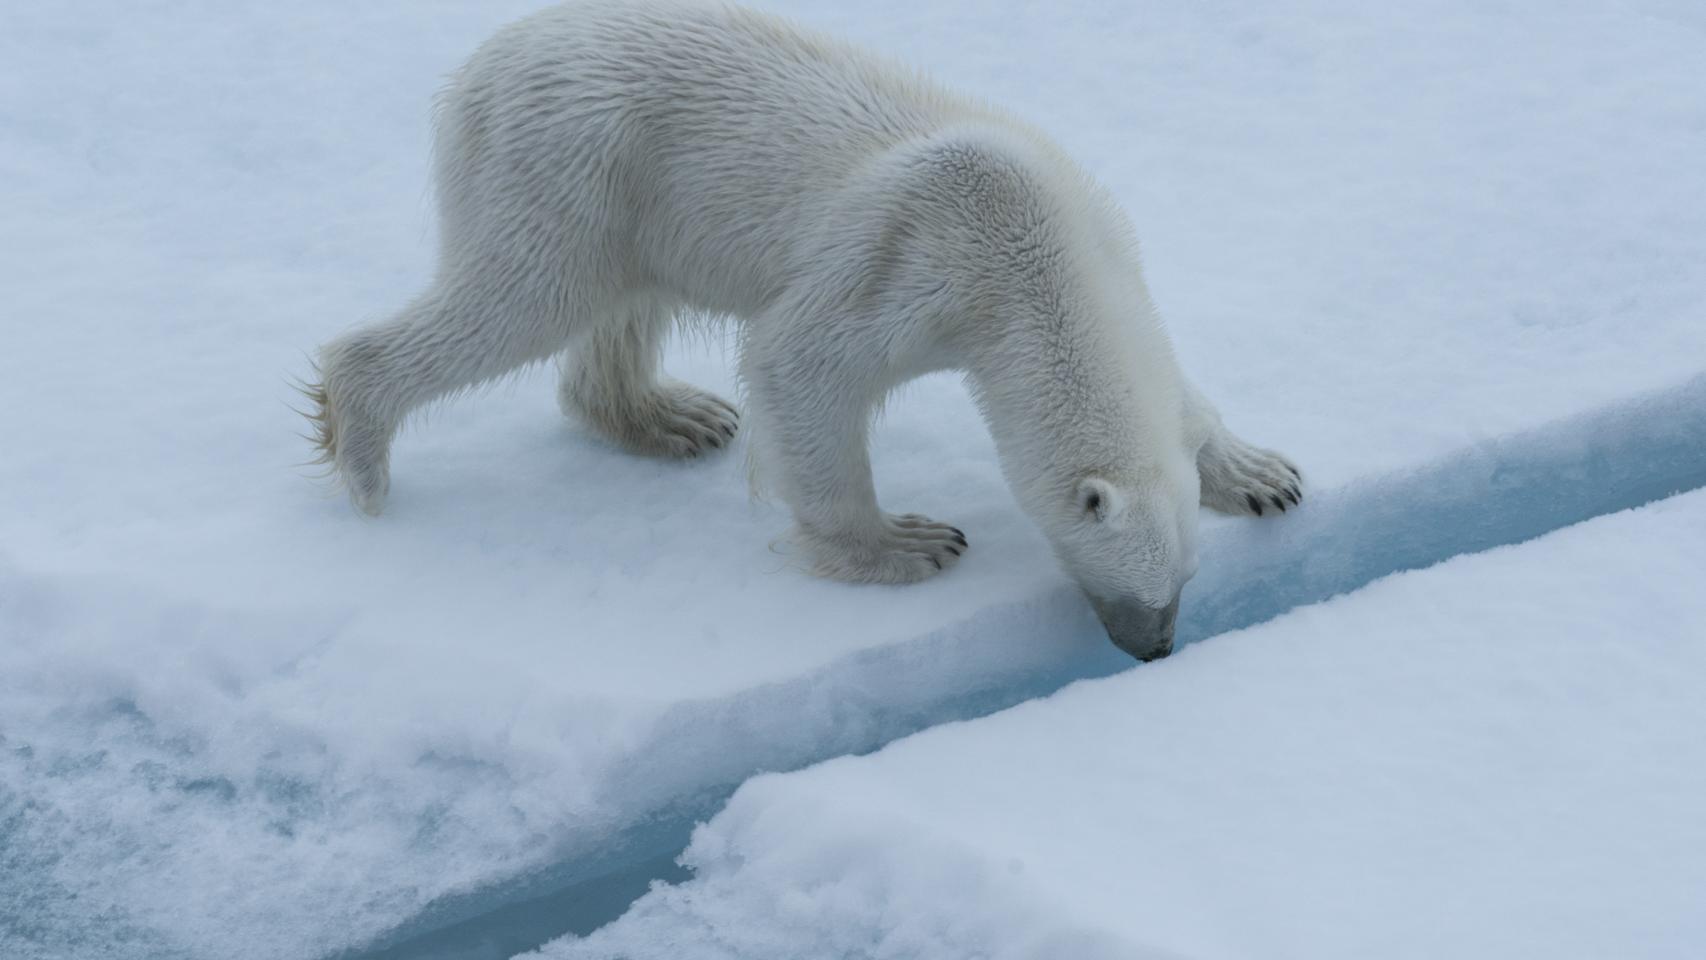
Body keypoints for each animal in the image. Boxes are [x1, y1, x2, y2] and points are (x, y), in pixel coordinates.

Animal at [307, 0, 1296, 661]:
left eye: (1185, 582)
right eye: (1132, 586)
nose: (1154, 649)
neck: (1039, 243)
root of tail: (481, 66)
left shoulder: (1106, 248)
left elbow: (1186, 400)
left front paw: (1262, 476)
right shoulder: (925, 255)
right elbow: (802, 363)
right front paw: (908, 544)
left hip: (628, 196)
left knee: (616, 309)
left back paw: (675, 419)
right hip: (567, 163)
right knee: (519, 298)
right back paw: (364, 453)